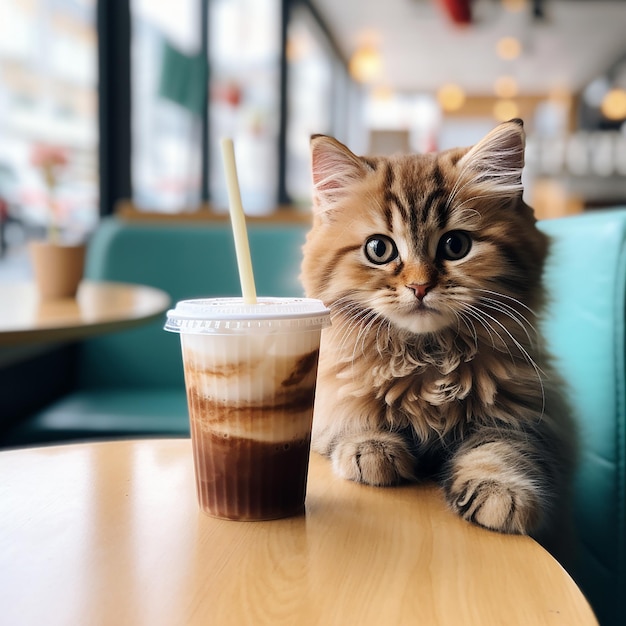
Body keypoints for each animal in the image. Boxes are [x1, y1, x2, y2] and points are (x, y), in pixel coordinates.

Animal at [302, 119, 576, 552]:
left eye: (455, 245)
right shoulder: (330, 394)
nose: (419, 287)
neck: (428, 358)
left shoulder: (526, 414)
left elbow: (501, 449)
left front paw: (500, 492)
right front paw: (372, 448)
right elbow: (352, 413)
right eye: (379, 249)